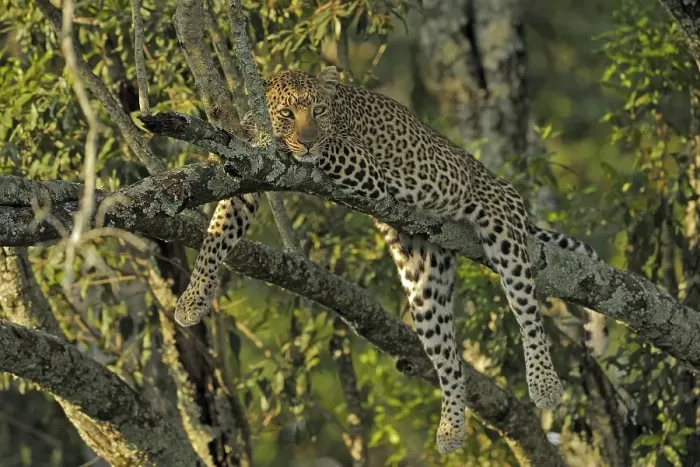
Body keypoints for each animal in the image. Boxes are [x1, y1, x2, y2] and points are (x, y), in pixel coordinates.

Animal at [174, 66, 608, 454]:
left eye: (319, 111)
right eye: (286, 113)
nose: (308, 141)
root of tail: (497, 181)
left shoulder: (361, 164)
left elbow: (321, 148)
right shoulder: (250, 175)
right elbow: (218, 232)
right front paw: (193, 299)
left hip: (502, 225)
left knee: (527, 312)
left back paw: (544, 384)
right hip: (423, 278)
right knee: (449, 360)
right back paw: (451, 429)